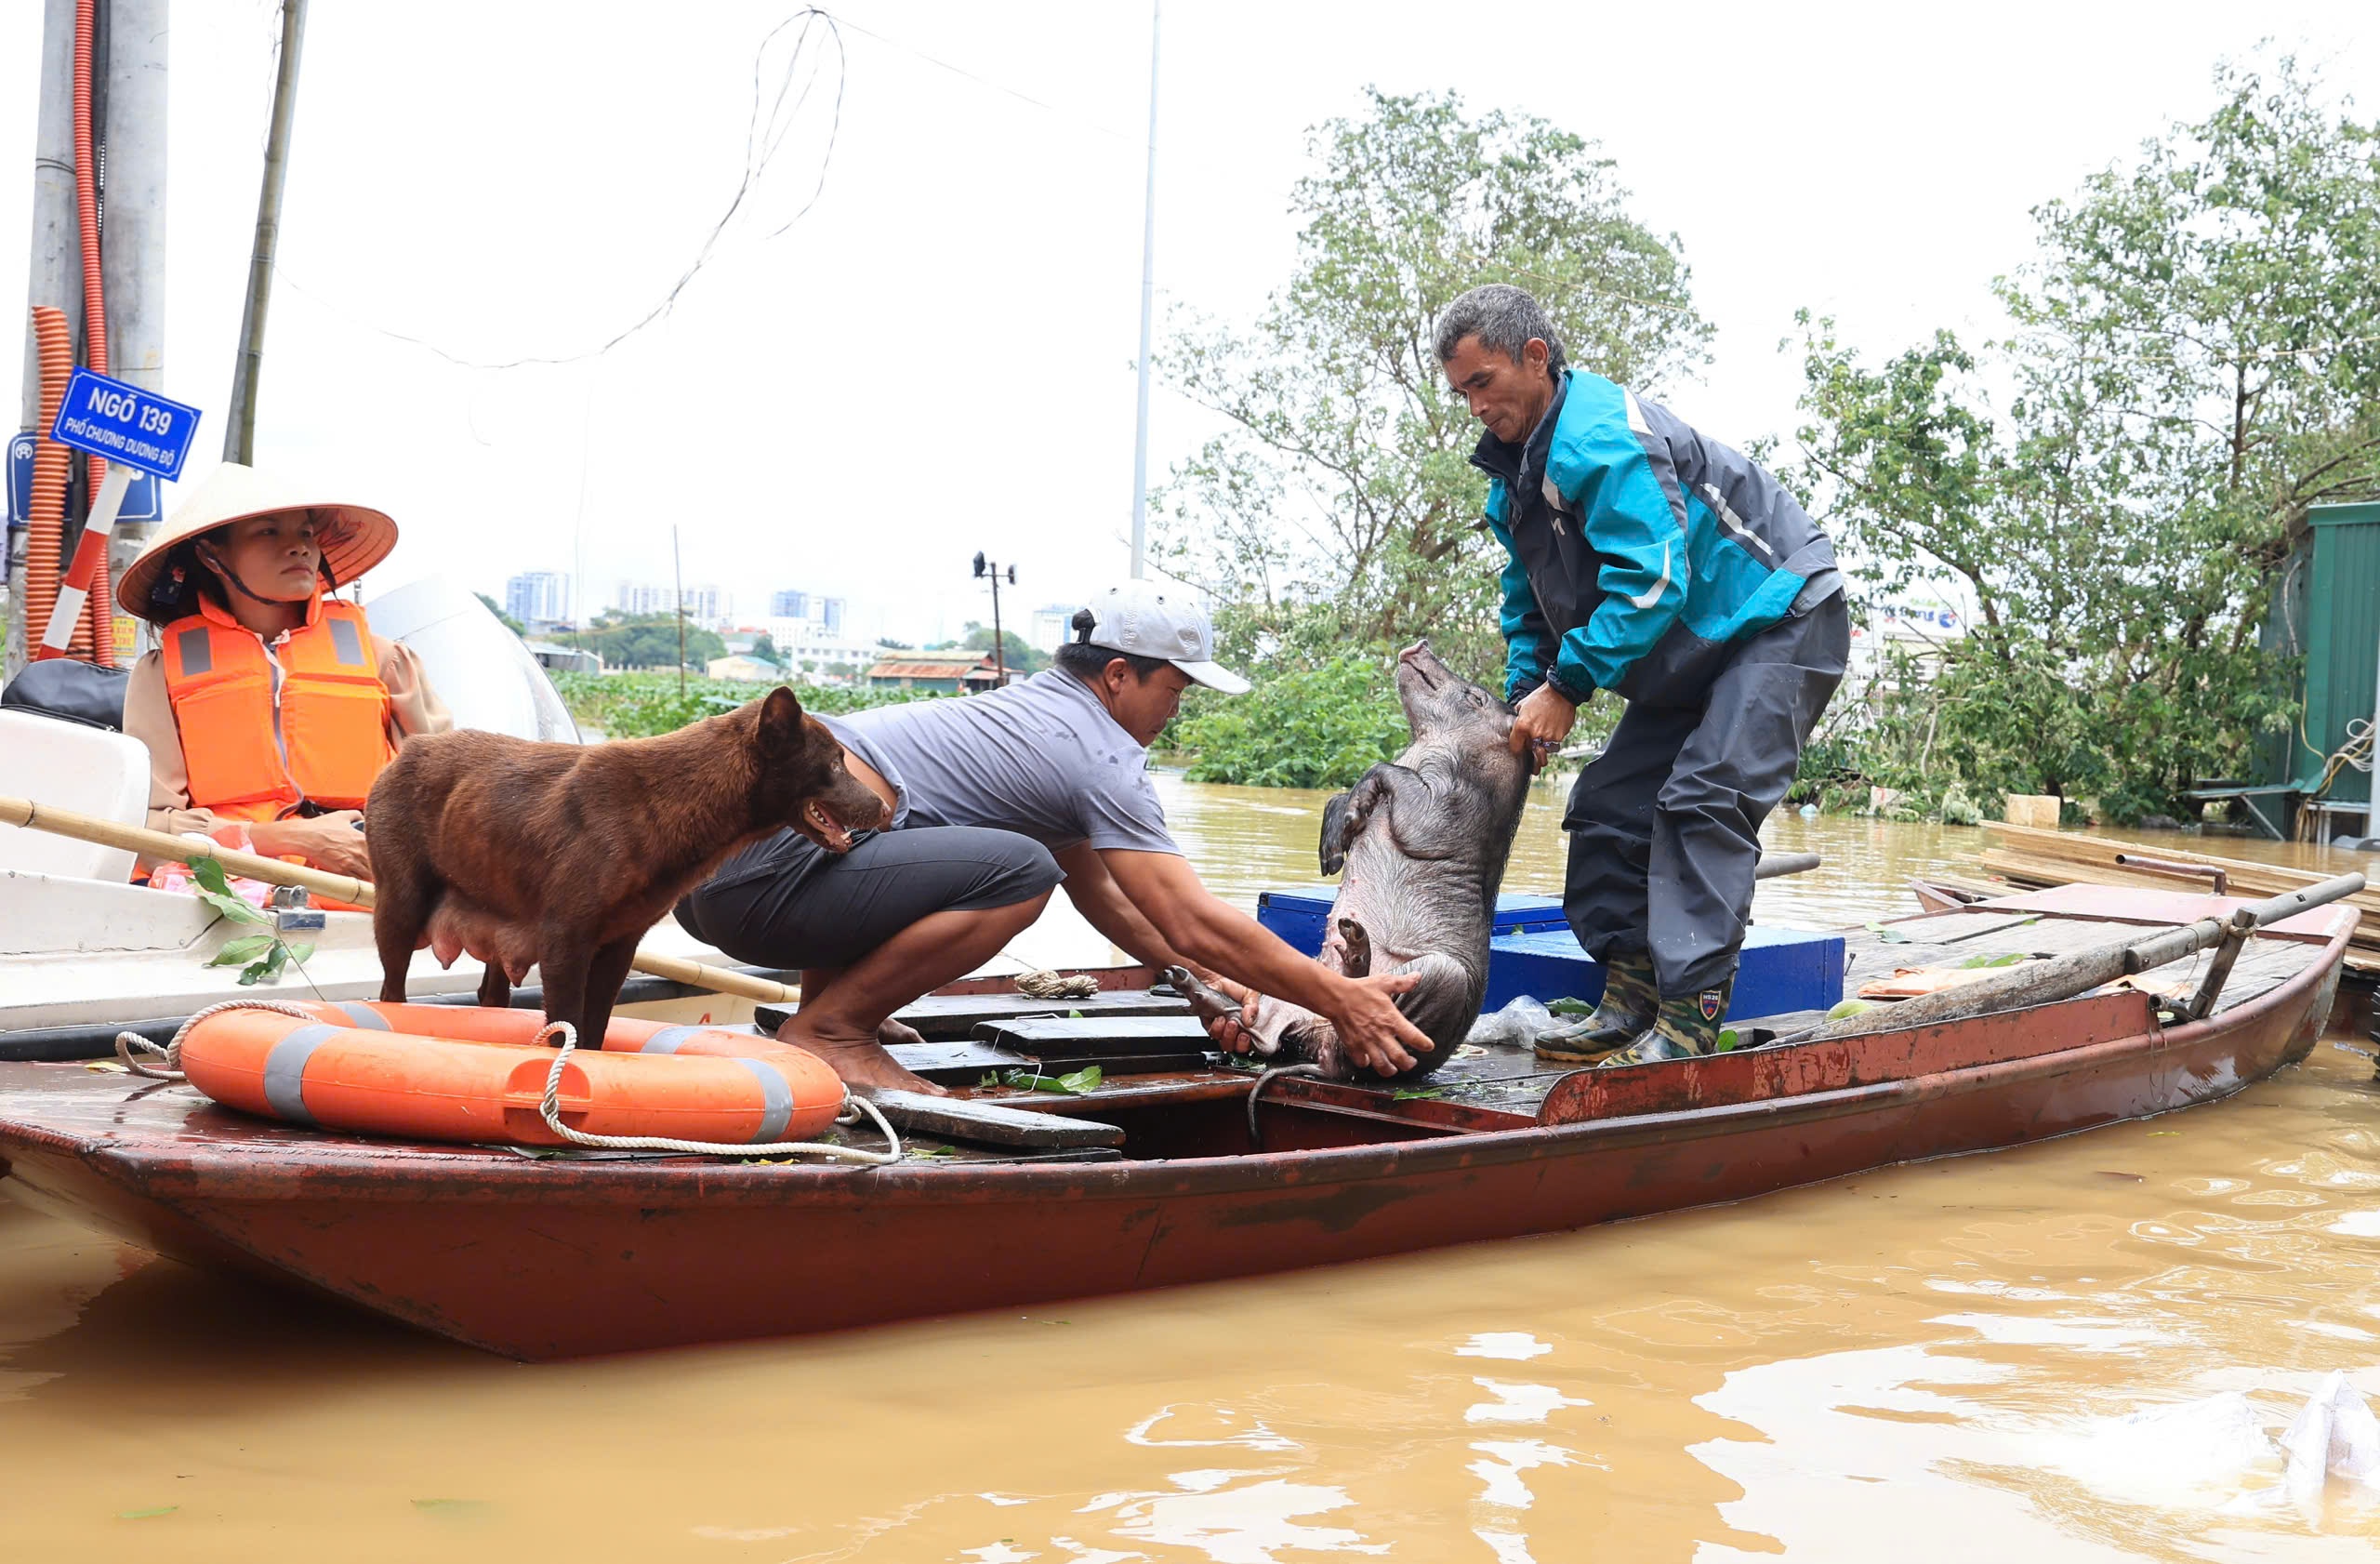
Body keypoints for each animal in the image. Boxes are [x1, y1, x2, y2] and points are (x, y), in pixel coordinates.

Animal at [366, 685, 890, 1042]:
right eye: (836, 765)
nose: (887, 809)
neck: (670, 805)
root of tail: (407, 752)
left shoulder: (619, 946)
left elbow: (593, 1033)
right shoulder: (565, 941)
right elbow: (565, 1029)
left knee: (490, 998)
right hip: (399, 908)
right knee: (392, 992)